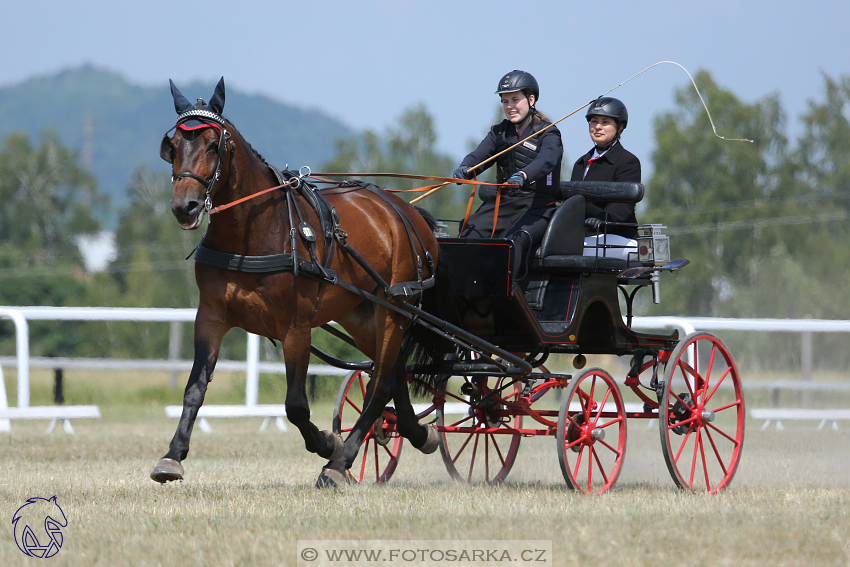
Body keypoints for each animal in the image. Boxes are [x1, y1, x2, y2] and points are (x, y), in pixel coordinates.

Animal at [152, 77, 440, 488]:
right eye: (172, 145)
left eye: (213, 144)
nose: (184, 206)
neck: (250, 235)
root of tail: (407, 213)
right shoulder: (210, 317)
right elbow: (194, 389)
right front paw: (172, 456)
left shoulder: (296, 327)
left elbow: (296, 406)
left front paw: (328, 443)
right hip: (363, 315)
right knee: (393, 374)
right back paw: (415, 433)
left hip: (395, 312)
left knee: (380, 383)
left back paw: (340, 462)